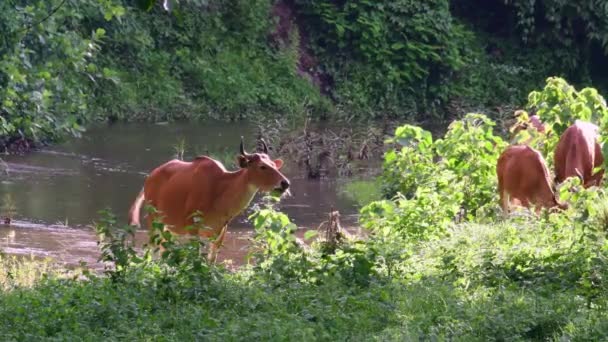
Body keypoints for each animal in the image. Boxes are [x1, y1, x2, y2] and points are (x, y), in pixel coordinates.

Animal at [128, 138, 290, 264]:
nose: (285, 183)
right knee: (153, 248)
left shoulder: (221, 231)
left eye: (274, 165)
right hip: (153, 219)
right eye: (262, 166)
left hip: (168, 226)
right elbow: (195, 256)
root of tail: (149, 179)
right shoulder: (193, 225)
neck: (219, 196)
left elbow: (211, 261)